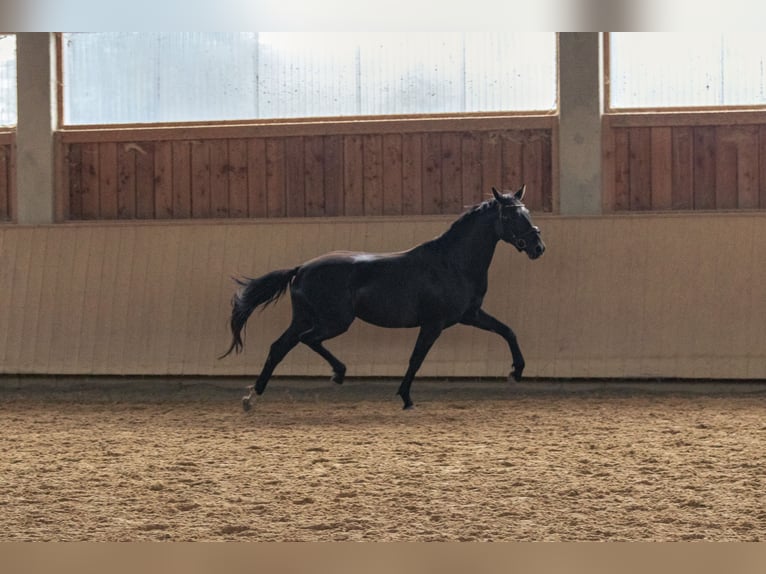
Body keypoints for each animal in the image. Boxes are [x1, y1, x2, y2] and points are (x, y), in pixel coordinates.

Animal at [219, 184, 548, 410]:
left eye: (527, 212)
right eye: (510, 215)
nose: (538, 247)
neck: (451, 263)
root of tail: (301, 269)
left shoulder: (470, 315)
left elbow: (508, 331)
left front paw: (516, 372)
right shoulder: (434, 323)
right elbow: (416, 358)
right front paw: (406, 398)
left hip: (306, 318)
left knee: (280, 347)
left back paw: (253, 397)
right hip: (334, 322)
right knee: (305, 340)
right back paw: (337, 374)